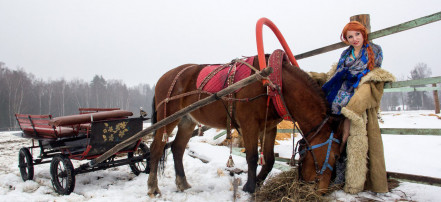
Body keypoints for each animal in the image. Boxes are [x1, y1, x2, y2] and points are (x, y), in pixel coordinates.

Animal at [147, 52, 344, 196]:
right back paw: (153, 187)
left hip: (187, 120)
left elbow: (270, 160)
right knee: (156, 148)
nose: (323, 191)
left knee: (177, 148)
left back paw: (183, 183)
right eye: (334, 156)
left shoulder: (269, 127)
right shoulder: (250, 125)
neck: (272, 85)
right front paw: (250, 187)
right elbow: (252, 157)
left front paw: (258, 182)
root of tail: (164, 77)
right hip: (168, 118)